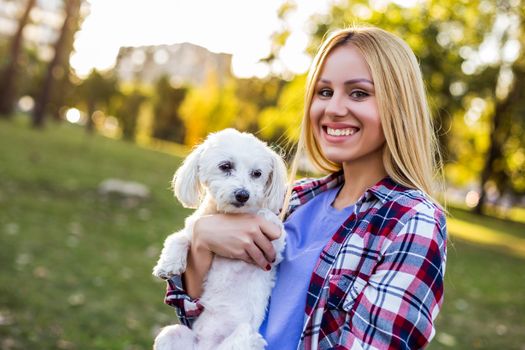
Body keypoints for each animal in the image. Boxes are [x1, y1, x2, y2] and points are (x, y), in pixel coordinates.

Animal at [151, 129, 286, 350]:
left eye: (257, 173)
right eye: (225, 166)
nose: (243, 195)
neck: (227, 216)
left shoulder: (273, 251)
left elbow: (271, 223)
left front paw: (264, 214)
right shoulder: (195, 228)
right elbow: (178, 238)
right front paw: (168, 265)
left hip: (246, 335)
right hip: (171, 335)